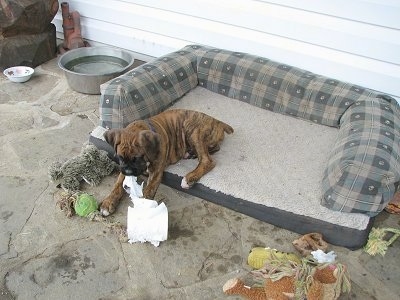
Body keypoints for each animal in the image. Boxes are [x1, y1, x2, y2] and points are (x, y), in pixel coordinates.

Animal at [100, 109, 233, 217]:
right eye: (120, 158)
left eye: (137, 158)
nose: (128, 171)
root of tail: (217, 121)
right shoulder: (123, 169)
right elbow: (117, 185)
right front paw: (108, 202)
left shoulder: (155, 172)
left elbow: (148, 191)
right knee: (214, 148)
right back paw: (191, 153)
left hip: (193, 130)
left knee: (207, 160)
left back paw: (189, 178)